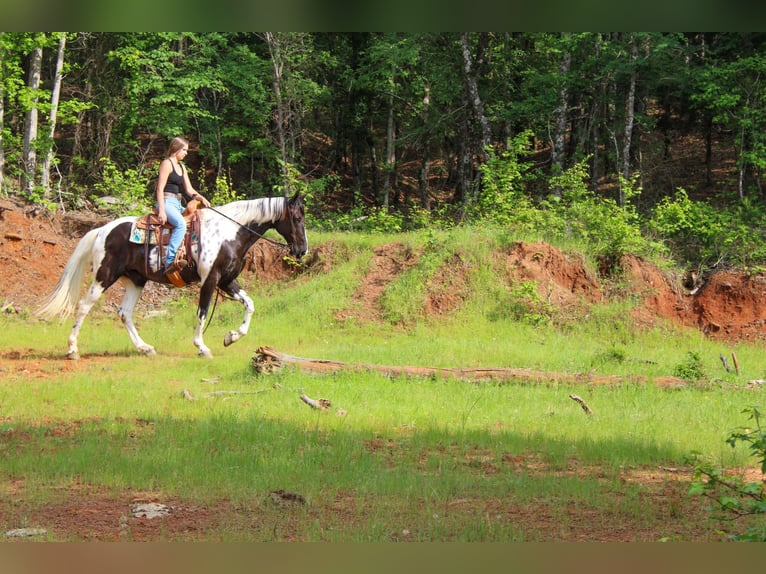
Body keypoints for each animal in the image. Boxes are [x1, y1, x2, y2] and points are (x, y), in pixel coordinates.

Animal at [35, 194, 306, 360]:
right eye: (297, 218)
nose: (302, 250)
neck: (229, 233)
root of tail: (102, 230)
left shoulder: (227, 280)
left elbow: (250, 305)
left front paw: (231, 337)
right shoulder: (210, 280)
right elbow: (202, 312)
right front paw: (201, 347)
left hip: (136, 280)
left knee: (124, 313)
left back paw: (144, 348)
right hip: (105, 275)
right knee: (83, 306)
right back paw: (72, 349)